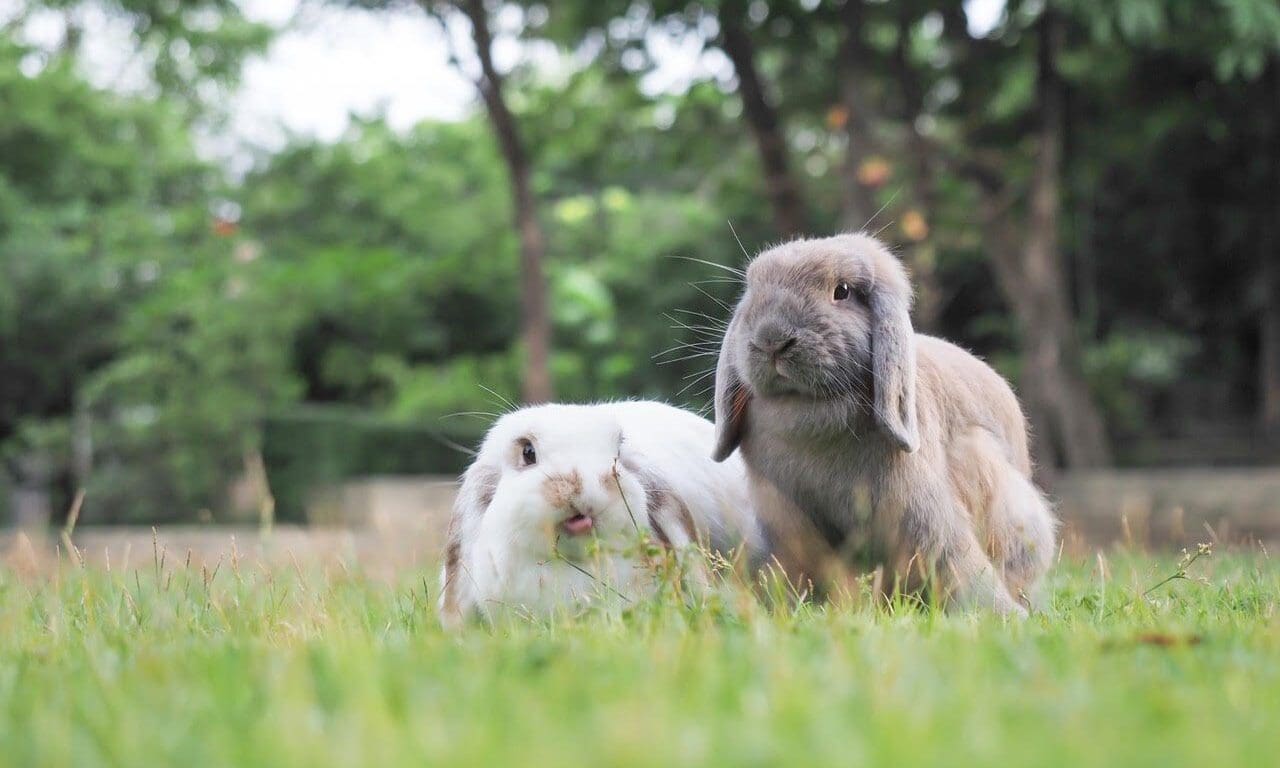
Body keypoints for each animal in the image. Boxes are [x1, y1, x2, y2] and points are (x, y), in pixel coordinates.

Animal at [711, 232, 1056, 616]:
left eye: (842, 291)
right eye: (753, 288)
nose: (772, 339)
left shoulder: (923, 514)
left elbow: (956, 560)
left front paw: (1003, 616)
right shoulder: (791, 520)